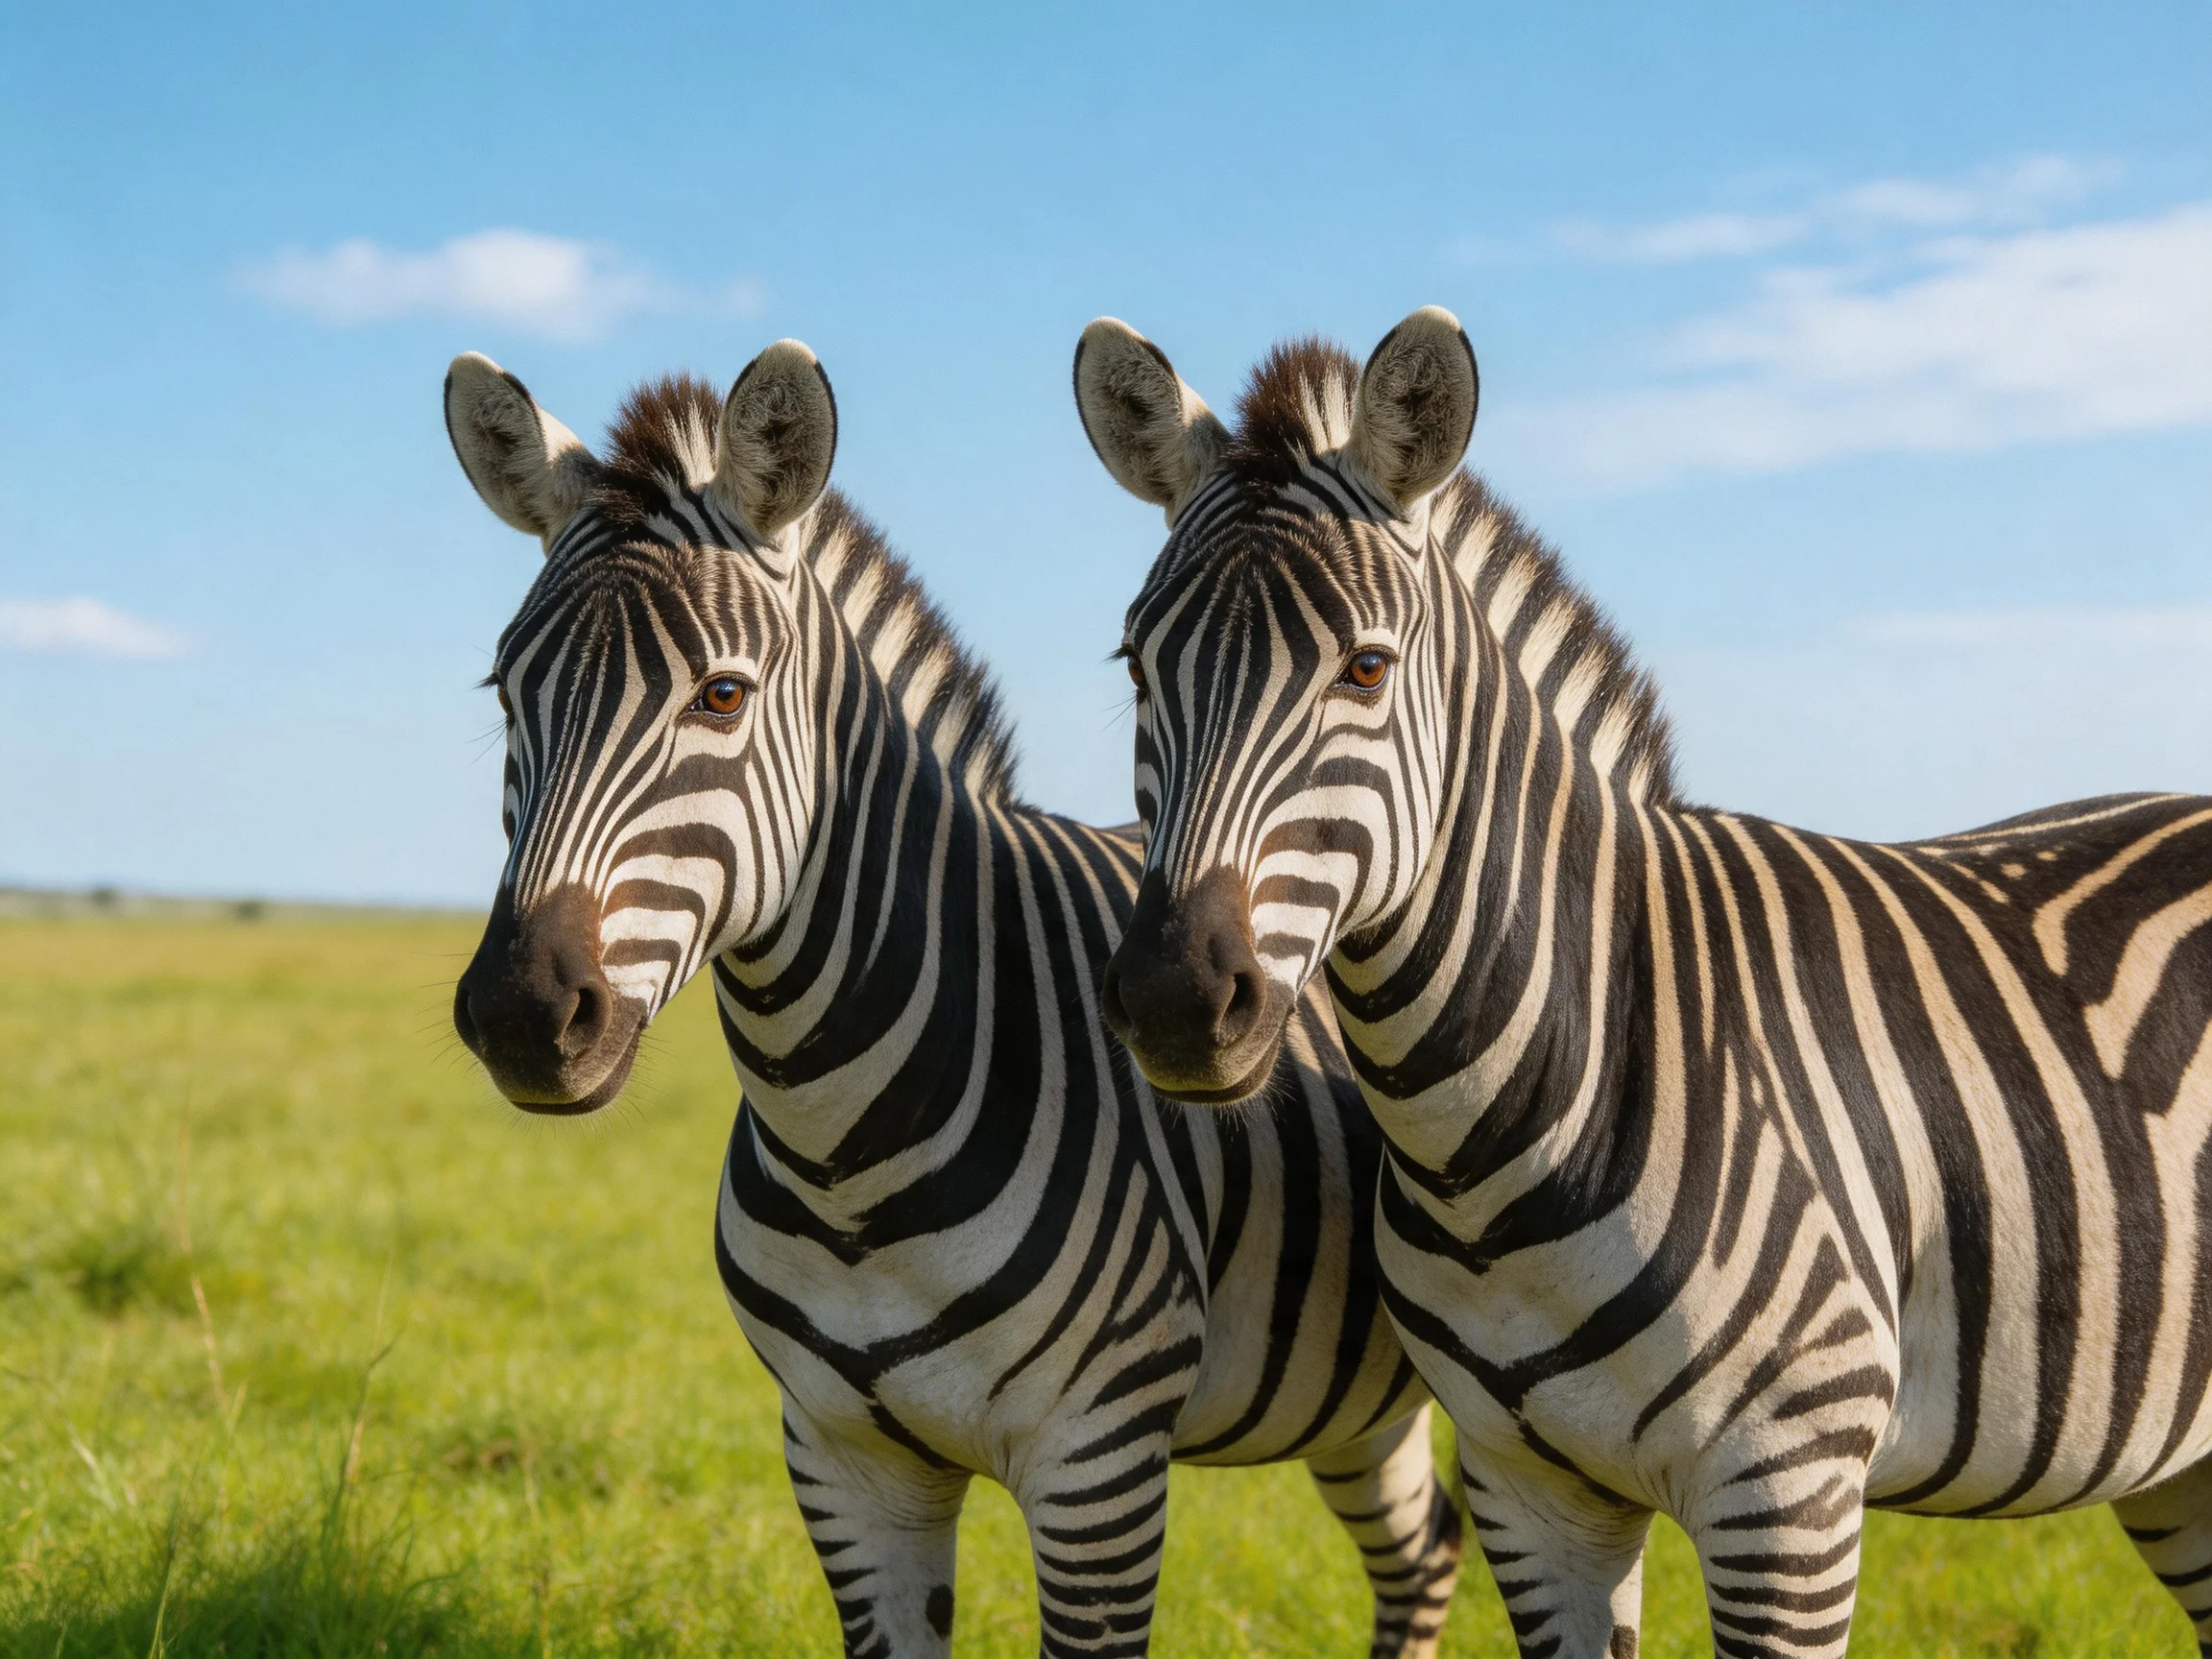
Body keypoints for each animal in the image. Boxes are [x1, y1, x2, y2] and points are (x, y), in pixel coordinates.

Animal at [442, 339, 1464, 1657]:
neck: (845, 1156)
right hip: (1357, 1394)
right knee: (1423, 1545)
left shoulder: (1097, 1461)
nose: (522, 1013)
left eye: (722, 697)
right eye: (504, 693)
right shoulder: (840, 1458)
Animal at [1072, 305, 2212, 1658]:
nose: (1176, 1001)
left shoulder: (1788, 1491)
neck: (1499, 1135)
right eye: (1136, 669)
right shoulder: (1527, 1493)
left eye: (1365, 670)